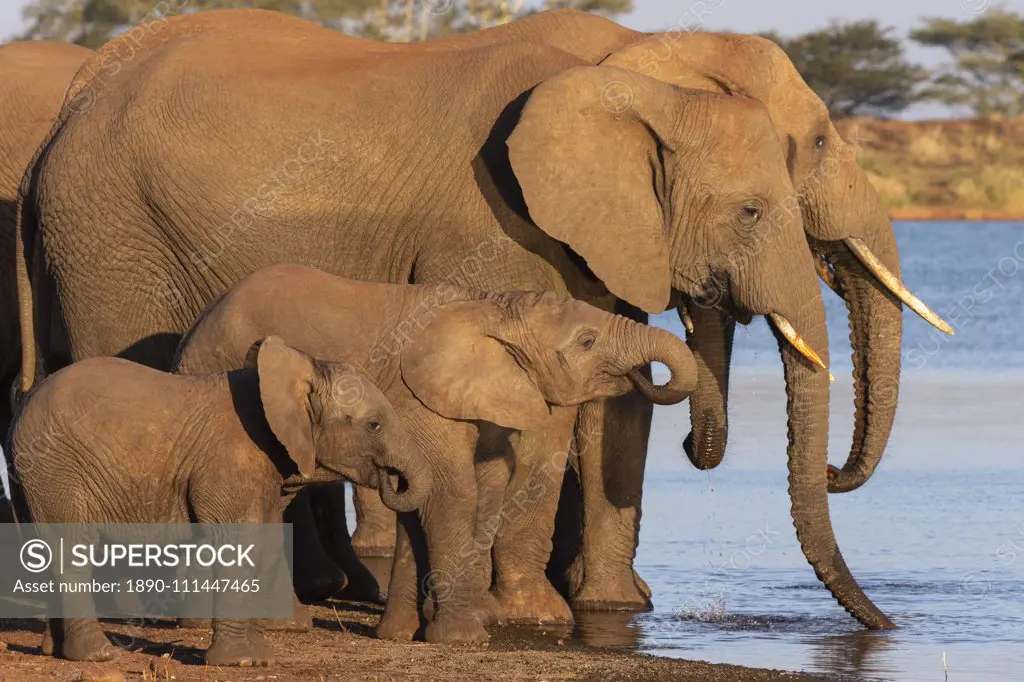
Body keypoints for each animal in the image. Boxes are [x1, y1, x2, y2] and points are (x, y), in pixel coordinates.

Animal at [4, 333, 428, 663]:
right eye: (374, 425)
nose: (392, 479)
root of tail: (20, 409)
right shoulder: (232, 459)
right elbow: (237, 539)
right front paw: (241, 662)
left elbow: (263, 538)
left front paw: (259, 657)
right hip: (56, 469)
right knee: (71, 548)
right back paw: (99, 655)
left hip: (33, 478)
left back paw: (56, 652)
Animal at [172, 262, 700, 638]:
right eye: (587, 341)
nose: (641, 376)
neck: (494, 309)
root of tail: (192, 329)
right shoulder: (416, 399)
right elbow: (453, 490)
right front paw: (464, 635)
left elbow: (483, 488)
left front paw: (429, 626)